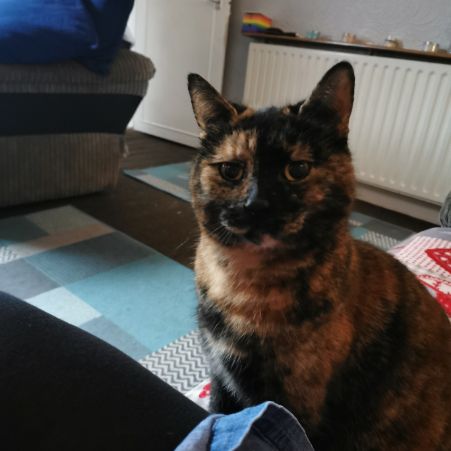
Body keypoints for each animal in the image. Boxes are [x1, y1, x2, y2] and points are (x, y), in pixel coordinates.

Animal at [187, 62, 451, 451]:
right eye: (231, 171)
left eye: (297, 169)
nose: (256, 204)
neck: (244, 284)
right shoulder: (222, 381)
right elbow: (214, 414)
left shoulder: (297, 404)